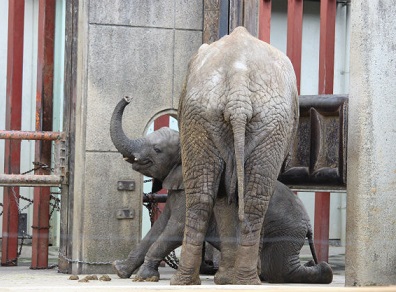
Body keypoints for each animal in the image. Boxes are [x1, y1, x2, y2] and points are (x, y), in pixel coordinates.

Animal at [110, 102, 332, 282]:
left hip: (284, 231)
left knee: (280, 269)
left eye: (157, 150)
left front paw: (143, 277)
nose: (128, 98)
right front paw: (121, 271)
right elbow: (158, 228)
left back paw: (324, 270)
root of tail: (308, 224)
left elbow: (176, 229)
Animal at [172, 26, 298, 284]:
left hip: (201, 116)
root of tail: (238, 83)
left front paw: (224, 279)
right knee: (254, 199)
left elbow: (224, 196)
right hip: (269, 122)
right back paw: (248, 281)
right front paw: (227, 279)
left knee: (201, 196)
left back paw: (185, 281)